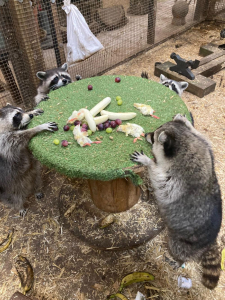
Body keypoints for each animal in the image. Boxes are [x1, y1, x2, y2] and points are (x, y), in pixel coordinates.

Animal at [131, 113, 222, 290]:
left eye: (153, 137)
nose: (146, 134)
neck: (185, 143)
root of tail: (210, 241)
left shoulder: (175, 179)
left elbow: (159, 179)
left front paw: (148, 161)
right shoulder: (206, 152)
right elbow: (203, 137)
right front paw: (185, 121)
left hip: (184, 242)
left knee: (179, 251)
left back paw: (179, 261)